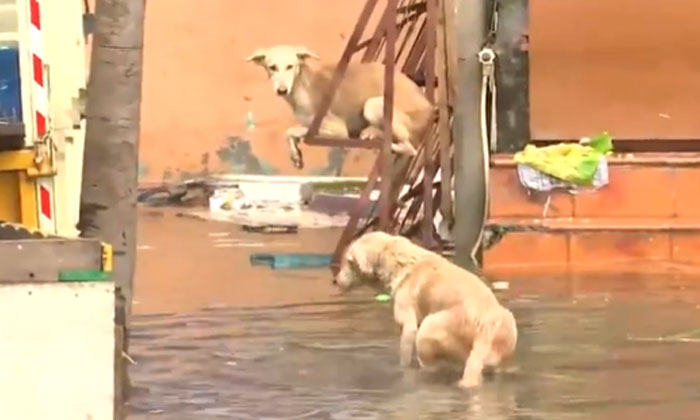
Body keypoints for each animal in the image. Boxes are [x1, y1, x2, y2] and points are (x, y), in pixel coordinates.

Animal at [245, 45, 432, 169]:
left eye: (290, 66)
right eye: (272, 67)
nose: (282, 90)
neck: (304, 86)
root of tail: (430, 107)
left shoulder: (336, 129)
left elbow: (291, 131)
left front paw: (296, 152)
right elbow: (291, 134)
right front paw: (296, 157)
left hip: (372, 105)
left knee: (409, 149)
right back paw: (372, 133)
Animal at [334, 231, 520, 388]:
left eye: (347, 261)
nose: (334, 281)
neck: (398, 261)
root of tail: (485, 331)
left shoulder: (408, 324)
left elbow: (405, 352)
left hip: (429, 328)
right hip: (506, 325)